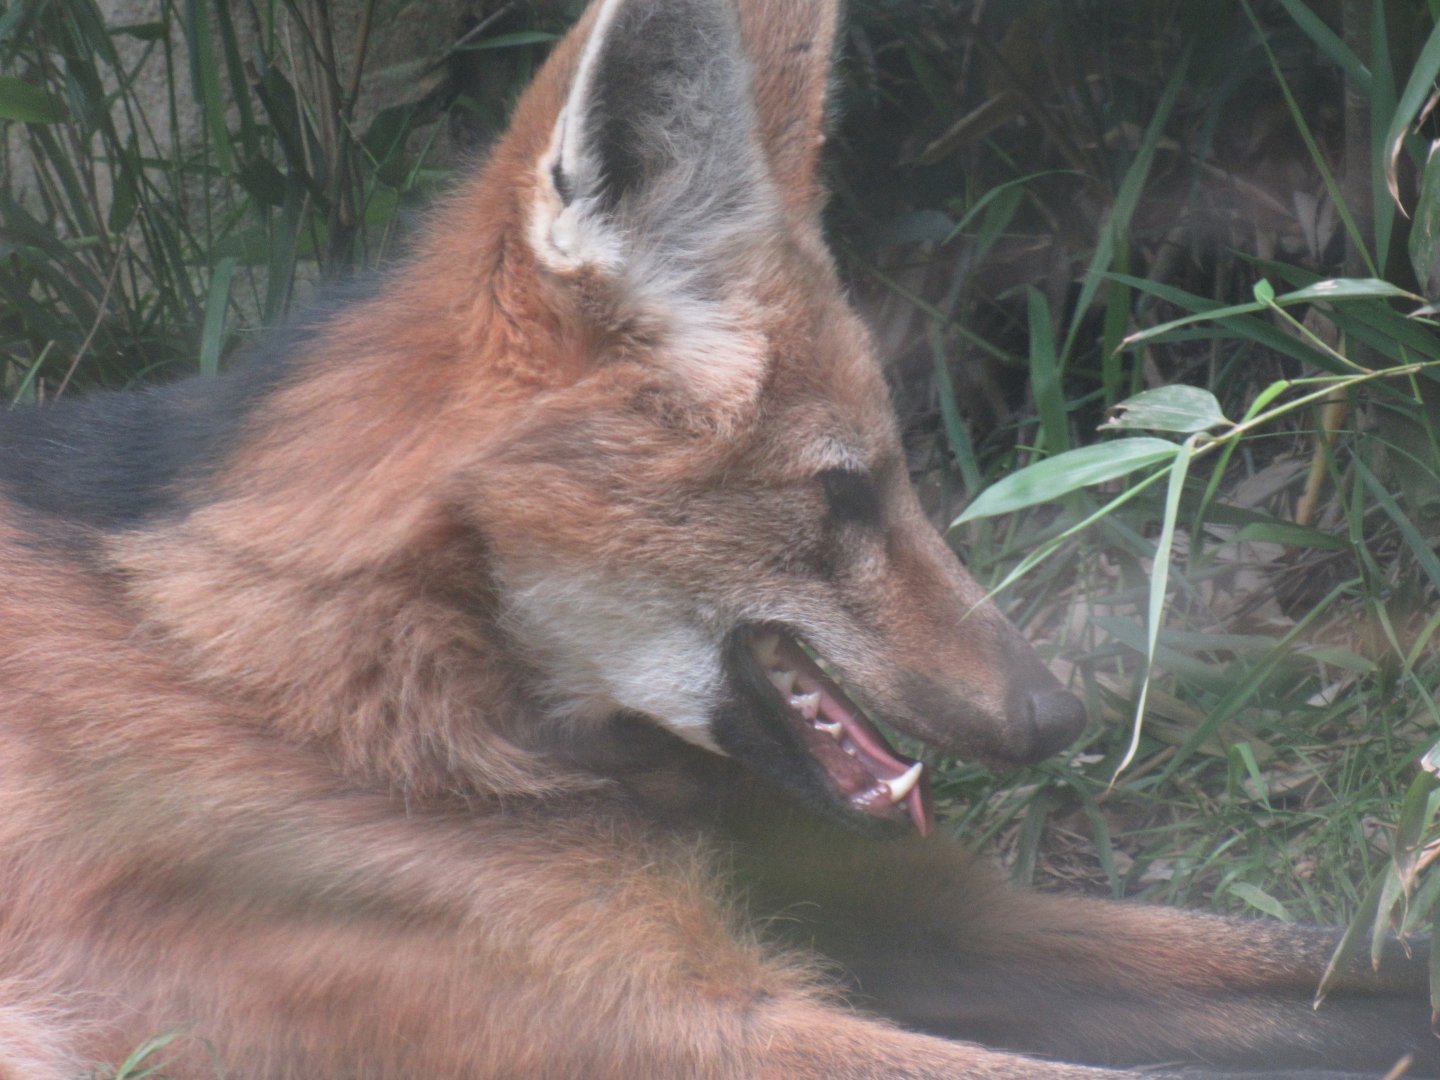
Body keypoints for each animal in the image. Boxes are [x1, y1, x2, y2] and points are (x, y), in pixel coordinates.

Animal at [0, 0, 1433, 1076]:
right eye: (843, 493)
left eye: (903, 471)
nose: (1055, 720)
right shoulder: (674, 1024)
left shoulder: (920, 916)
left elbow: (1374, 965)